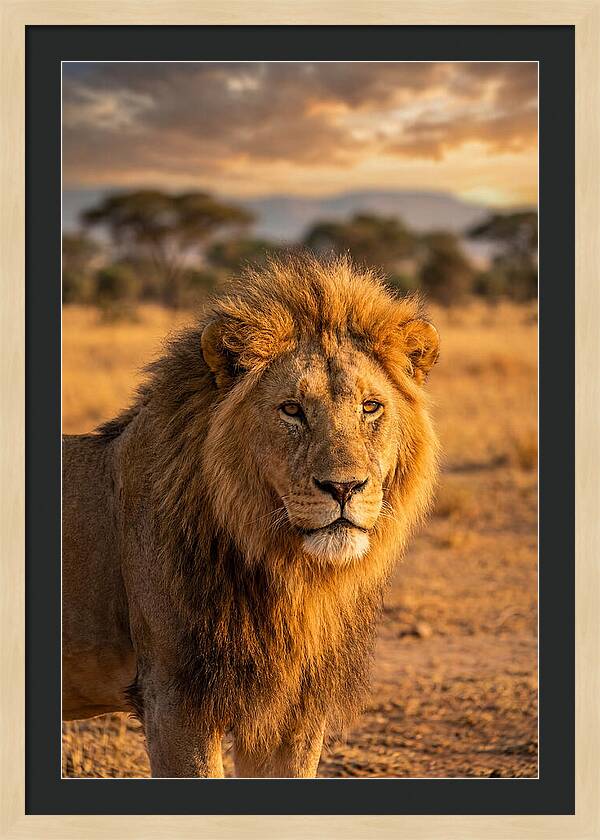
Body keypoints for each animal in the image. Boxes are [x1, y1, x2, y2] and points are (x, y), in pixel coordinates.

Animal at [62, 254, 440, 778]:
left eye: (371, 407)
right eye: (292, 410)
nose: (344, 487)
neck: (291, 576)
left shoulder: (293, 711)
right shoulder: (175, 700)